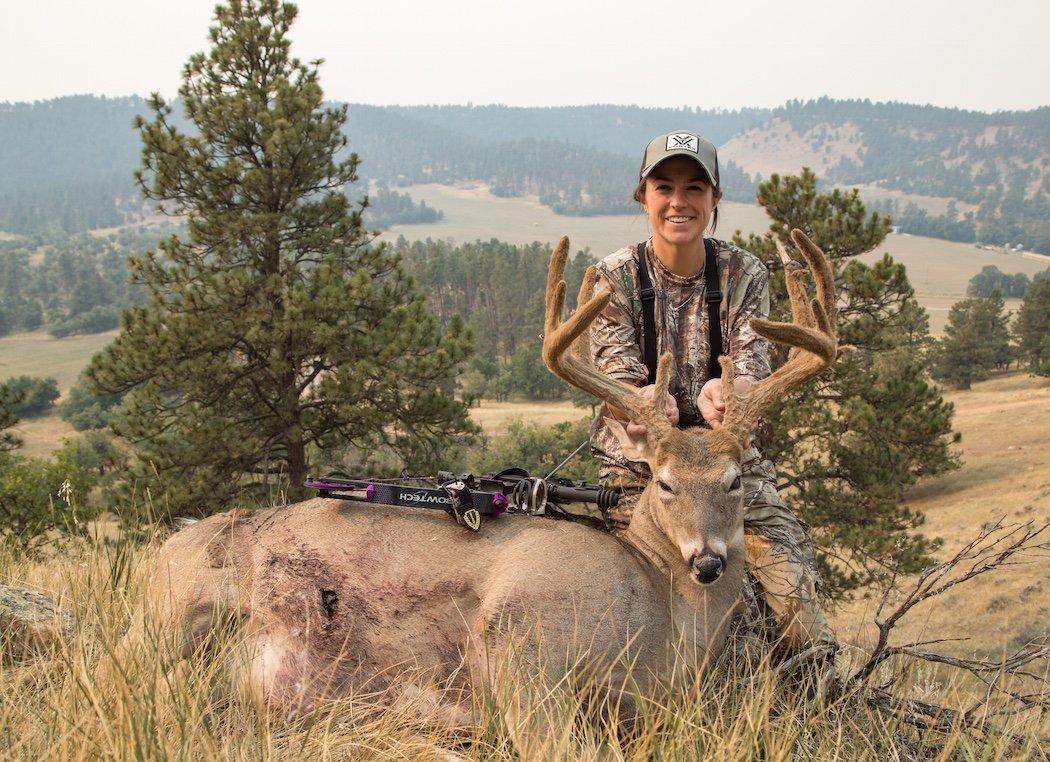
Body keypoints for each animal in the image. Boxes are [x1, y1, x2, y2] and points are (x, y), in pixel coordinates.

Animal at [112, 228, 835, 747]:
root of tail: (159, 554)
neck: (662, 615)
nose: (708, 561)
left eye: (735, 479)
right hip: (169, 618)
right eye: (662, 482)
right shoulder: (520, 639)